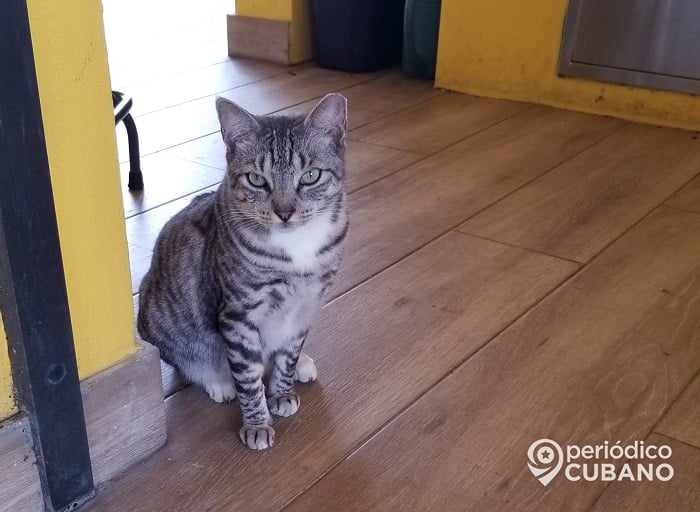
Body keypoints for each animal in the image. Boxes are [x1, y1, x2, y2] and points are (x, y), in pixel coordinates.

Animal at [137, 94, 348, 450]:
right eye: (256, 180)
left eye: (310, 176)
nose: (285, 212)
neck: (297, 251)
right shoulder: (238, 315)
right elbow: (248, 377)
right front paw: (257, 424)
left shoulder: (305, 306)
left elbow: (289, 353)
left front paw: (283, 391)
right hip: (159, 320)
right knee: (185, 357)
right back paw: (218, 380)